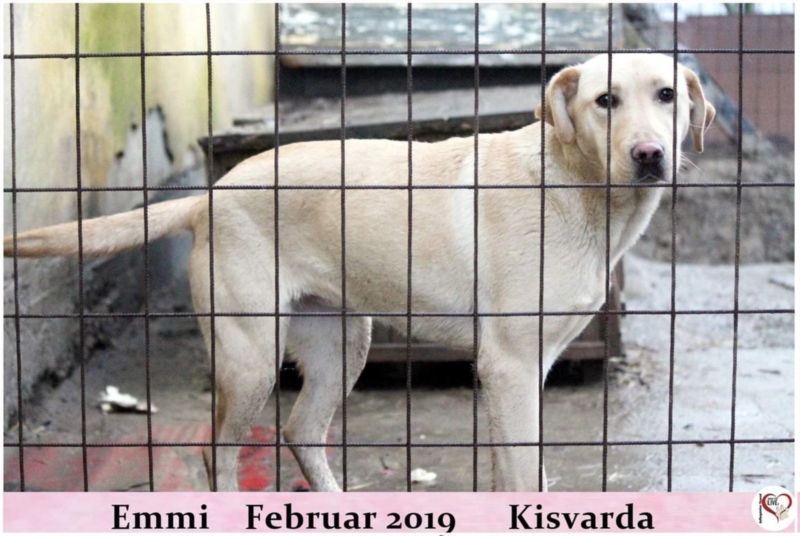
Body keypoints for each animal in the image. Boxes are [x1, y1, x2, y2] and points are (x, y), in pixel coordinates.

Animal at [4, 53, 714, 492]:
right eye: (604, 101)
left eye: (667, 95)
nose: (649, 155)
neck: (576, 186)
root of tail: (211, 193)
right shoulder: (510, 367)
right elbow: (523, 476)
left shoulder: (522, 371)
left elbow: (523, 472)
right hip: (250, 356)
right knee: (219, 452)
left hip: (343, 342)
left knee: (299, 431)